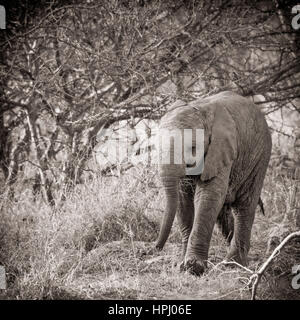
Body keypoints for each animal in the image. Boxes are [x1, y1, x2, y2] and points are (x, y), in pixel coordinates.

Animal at [155, 91, 272, 276]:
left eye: (193, 148)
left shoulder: (222, 150)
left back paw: (233, 265)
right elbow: (183, 199)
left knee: (244, 207)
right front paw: (181, 265)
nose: (156, 248)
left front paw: (194, 267)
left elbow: (208, 196)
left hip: (260, 156)